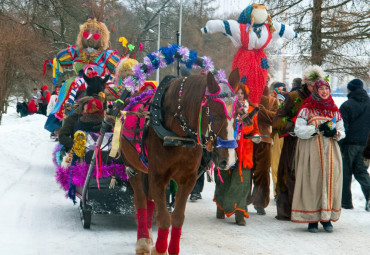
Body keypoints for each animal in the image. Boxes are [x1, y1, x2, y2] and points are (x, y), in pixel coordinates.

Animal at [119, 68, 240, 254]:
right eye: (216, 116)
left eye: (238, 114)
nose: (229, 159)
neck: (179, 136)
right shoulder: (158, 177)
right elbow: (164, 218)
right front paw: (160, 249)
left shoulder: (187, 179)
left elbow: (177, 217)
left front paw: (169, 248)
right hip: (132, 168)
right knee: (140, 201)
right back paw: (143, 240)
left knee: (150, 200)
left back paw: (149, 236)